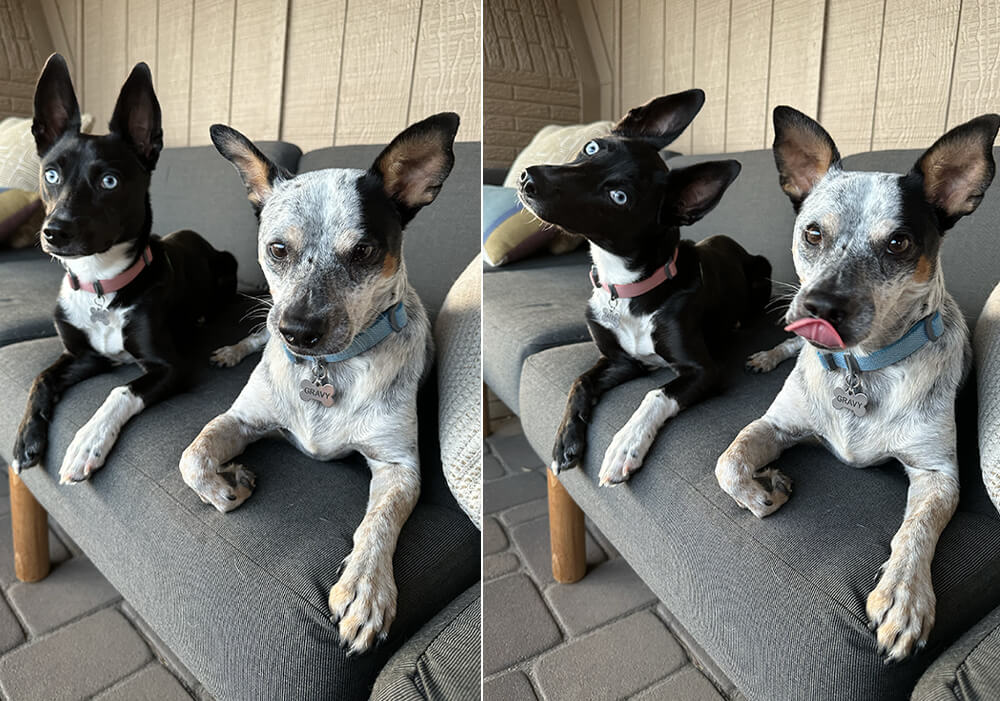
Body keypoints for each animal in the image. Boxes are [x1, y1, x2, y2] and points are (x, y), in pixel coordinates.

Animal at [12, 53, 235, 482]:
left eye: (109, 181)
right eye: (51, 174)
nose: (53, 233)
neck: (101, 284)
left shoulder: (170, 367)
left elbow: (120, 390)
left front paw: (87, 442)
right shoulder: (85, 356)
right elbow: (41, 378)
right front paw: (25, 438)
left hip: (228, 263)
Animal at [178, 112, 458, 652]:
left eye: (365, 251)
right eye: (277, 249)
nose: (299, 331)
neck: (327, 366)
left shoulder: (399, 466)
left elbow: (378, 523)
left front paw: (365, 590)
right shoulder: (241, 418)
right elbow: (193, 457)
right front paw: (226, 486)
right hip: (263, 328)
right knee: (254, 335)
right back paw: (231, 350)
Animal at [520, 90, 768, 484]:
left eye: (619, 197)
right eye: (591, 147)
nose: (528, 178)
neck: (627, 290)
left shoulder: (703, 371)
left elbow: (655, 395)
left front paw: (626, 445)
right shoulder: (621, 361)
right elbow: (580, 381)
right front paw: (565, 440)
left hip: (762, 269)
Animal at [716, 105, 996, 660]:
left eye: (899, 242)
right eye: (812, 233)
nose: (820, 307)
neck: (861, 369)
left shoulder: (938, 474)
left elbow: (915, 531)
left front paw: (903, 597)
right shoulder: (776, 424)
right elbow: (728, 464)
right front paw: (762, 491)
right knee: (788, 349)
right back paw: (766, 355)